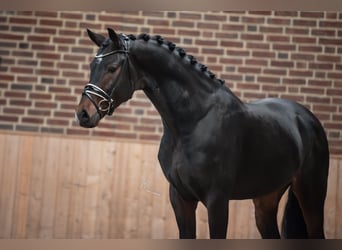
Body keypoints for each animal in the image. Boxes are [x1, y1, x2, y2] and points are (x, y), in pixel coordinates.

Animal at [75, 28, 328, 239]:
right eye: (91, 66)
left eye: (112, 68)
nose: (83, 114)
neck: (193, 122)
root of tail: (306, 119)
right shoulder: (181, 199)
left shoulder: (217, 201)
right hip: (266, 199)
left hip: (312, 197)